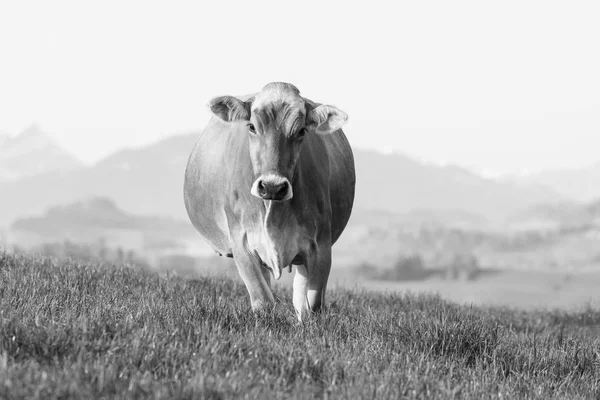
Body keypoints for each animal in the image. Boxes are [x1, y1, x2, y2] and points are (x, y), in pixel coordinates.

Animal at [185, 81, 354, 318]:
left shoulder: (321, 245)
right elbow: (262, 299)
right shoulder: (242, 240)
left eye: (301, 130)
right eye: (252, 127)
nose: (272, 186)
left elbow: (312, 304)